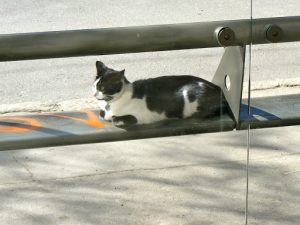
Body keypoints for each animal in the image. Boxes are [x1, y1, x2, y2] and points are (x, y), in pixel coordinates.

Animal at [91, 60, 230, 125]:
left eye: (102, 87)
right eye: (94, 86)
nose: (93, 94)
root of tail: (220, 92)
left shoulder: (139, 116)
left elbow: (116, 118)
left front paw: (113, 117)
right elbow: (102, 114)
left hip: (188, 93)